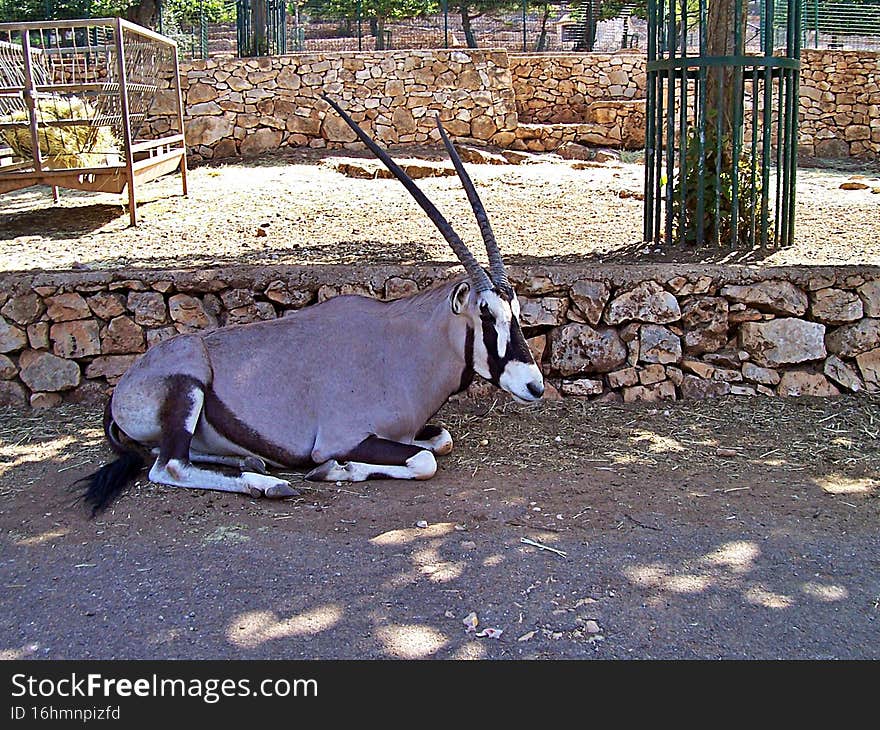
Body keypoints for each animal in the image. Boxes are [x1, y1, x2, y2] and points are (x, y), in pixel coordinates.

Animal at [79, 96, 544, 516]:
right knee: (169, 466)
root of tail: (122, 388)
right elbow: (424, 460)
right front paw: (334, 470)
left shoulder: (409, 431)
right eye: (485, 314)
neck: (402, 347)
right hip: (187, 386)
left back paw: (251, 460)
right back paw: (267, 483)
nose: (534, 386)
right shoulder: (345, 437)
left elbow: (441, 440)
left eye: (516, 313)